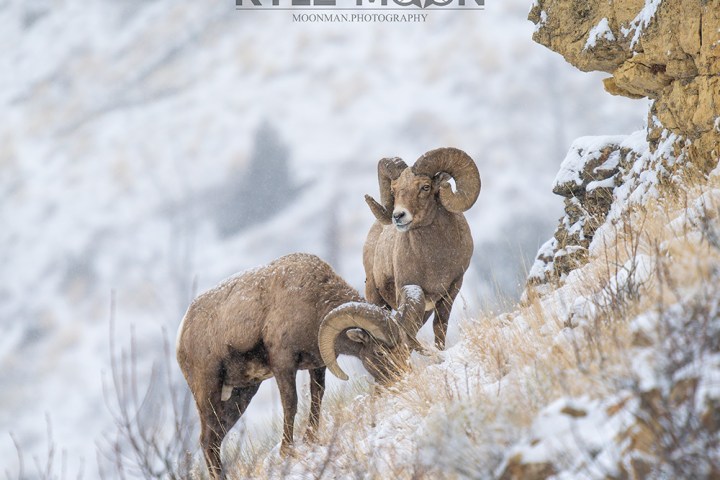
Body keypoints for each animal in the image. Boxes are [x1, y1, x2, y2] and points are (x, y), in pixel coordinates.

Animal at [176, 253, 414, 479]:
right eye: (380, 351)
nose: (403, 377)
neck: (313, 300)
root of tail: (183, 331)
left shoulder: (317, 365)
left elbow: (317, 397)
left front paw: (311, 438)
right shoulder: (284, 366)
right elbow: (291, 405)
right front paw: (286, 451)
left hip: (240, 395)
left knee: (216, 438)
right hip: (208, 391)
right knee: (207, 440)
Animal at [362, 147, 481, 350]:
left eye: (425, 187)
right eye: (394, 190)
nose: (398, 216)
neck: (435, 261)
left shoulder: (451, 290)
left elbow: (439, 327)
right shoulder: (406, 291)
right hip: (375, 296)